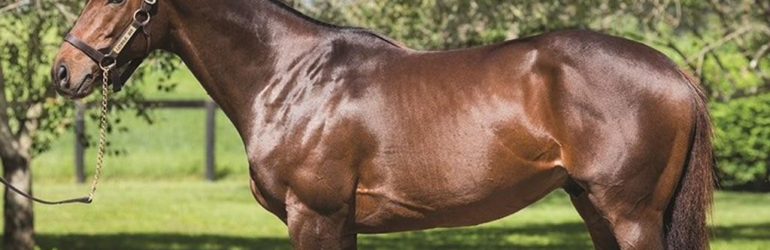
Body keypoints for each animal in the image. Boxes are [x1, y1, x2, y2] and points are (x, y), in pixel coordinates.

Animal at [52, 0, 712, 249]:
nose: (63, 71)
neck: (290, 77)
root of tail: (675, 74)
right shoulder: (339, 221)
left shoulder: (313, 215)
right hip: (596, 210)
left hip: (630, 215)